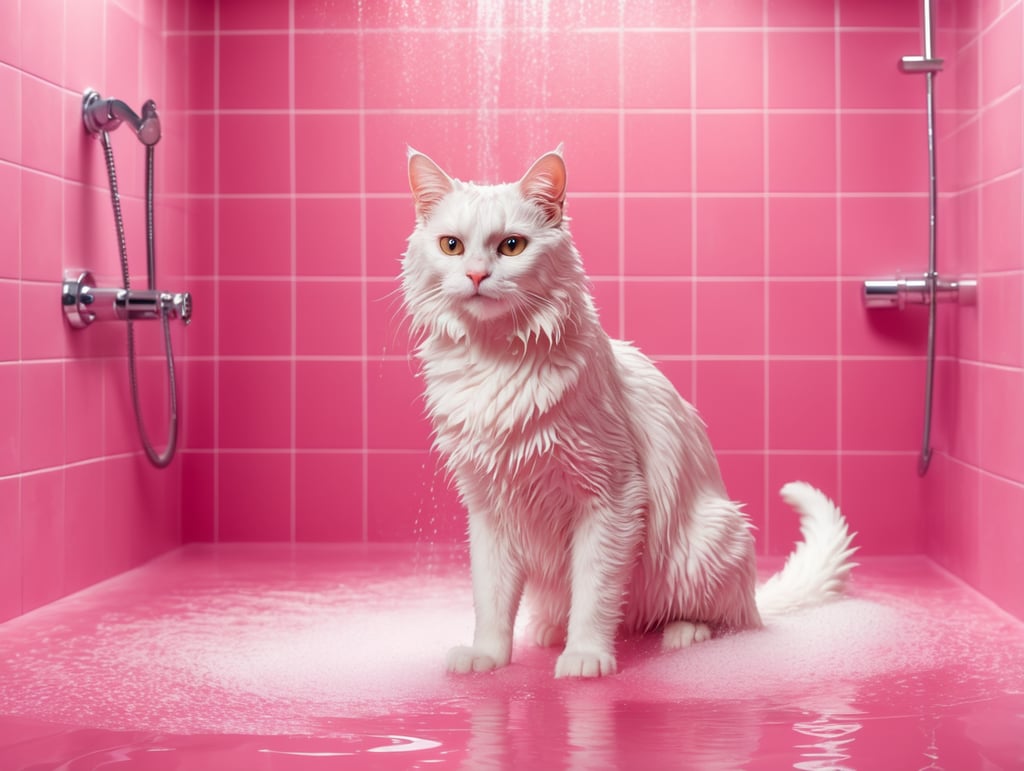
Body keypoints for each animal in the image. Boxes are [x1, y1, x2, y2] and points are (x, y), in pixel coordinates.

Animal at [399, 147, 856, 675]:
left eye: (511, 246)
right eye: (451, 246)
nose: (476, 275)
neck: (494, 362)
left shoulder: (612, 497)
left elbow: (594, 593)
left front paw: (585, 657)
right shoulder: (489, 507)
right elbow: (491, 598)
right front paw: (487, 657)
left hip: (706, 543)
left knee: (730, 621)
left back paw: (683, 632)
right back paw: (550, 630)